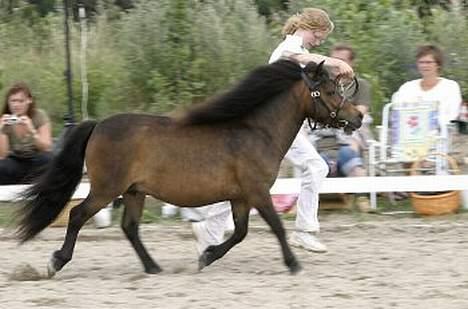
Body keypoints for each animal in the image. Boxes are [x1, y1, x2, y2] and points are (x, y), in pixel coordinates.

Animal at [15, 59, 362, 276]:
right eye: (330, 91)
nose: (357, 117)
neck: (256, 131)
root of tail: (97, 124)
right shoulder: (257, 192)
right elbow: (275, 227)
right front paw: (293, 264)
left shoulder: (240, 196)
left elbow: (240, 232)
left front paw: (206, 256)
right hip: (106, 189)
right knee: (77, 215)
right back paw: (57, 262)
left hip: (134, 192)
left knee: (130, 227)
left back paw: (153, 267)